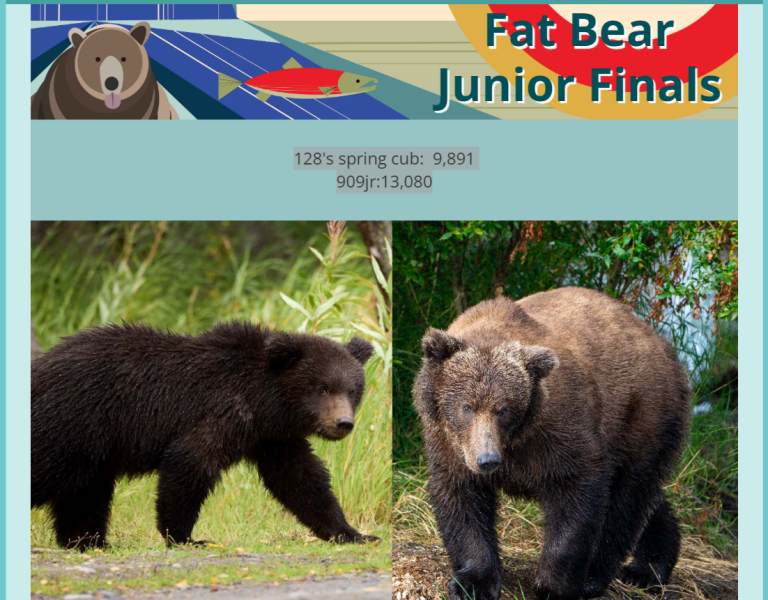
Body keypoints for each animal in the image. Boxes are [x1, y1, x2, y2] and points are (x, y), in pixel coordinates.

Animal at [32, 321, 377, 549]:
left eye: (352, 389)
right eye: (322, 388)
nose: (343, 422)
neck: (265, 399)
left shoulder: (272, 438)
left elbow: (302, 480)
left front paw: (353, 532)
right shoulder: (223, 411)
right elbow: (192, 458)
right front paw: (186, 536)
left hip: (93, 449)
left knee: (86, 494)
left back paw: (87, 541)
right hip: (73, 423)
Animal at [413, 287, 691, 600]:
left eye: (503, 409)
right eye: (467, 406)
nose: (488, 461)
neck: (515, 440)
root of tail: (665, 348)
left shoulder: (560, 430)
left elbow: (576, 493)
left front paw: (553, 586)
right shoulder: (449, 442)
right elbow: (461, 497)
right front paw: (473, 582)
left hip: (643, 418)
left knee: (627, 497)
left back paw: (600, 575)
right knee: (648, 499)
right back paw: (650, 566)